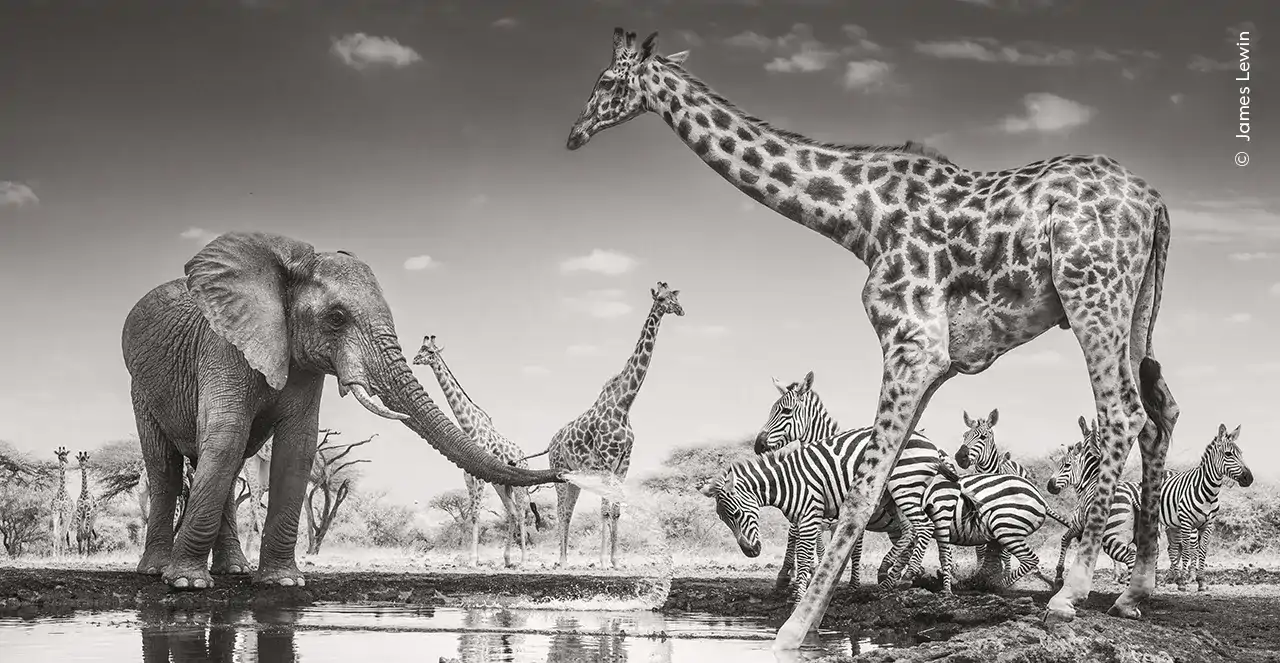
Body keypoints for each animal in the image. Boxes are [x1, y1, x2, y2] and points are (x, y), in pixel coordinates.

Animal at [122, 231, 564, 589]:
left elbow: (298, 449)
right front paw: (186, 584)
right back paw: (158, 571)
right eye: (336, 318)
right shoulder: (221, 346)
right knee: (168, 465)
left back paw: (234, 571)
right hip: (140, 386)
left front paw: (283, 583)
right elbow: (227, 439)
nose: (562, 472)